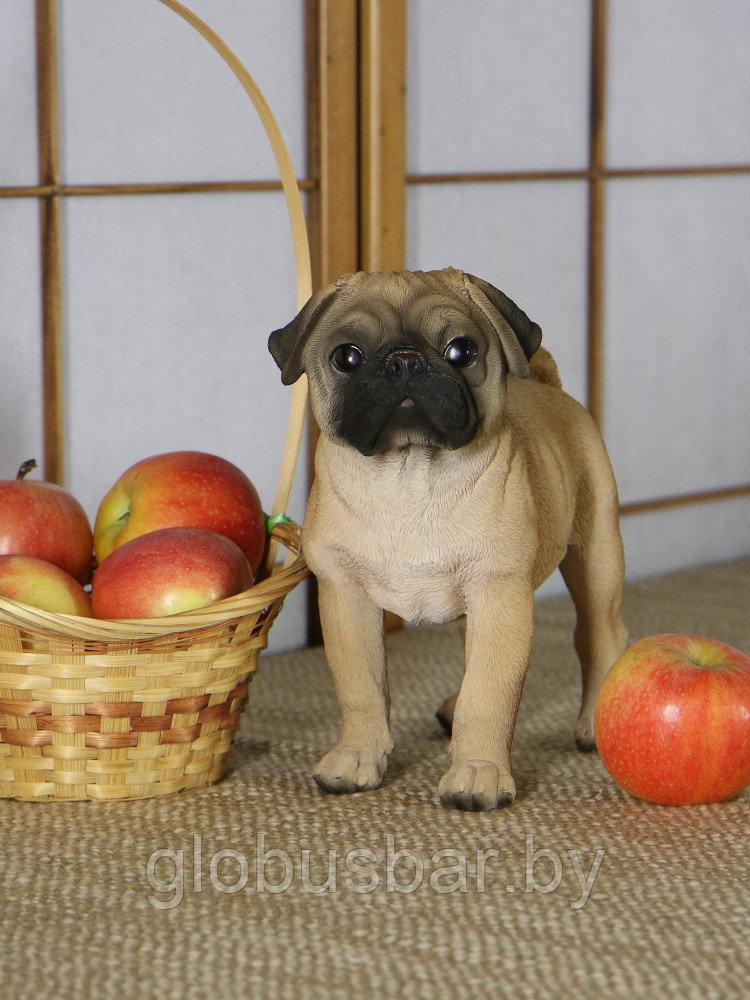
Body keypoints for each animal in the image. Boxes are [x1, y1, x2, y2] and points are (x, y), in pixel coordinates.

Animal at [270, 268, 628, 812]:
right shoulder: (346, 598)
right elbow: (361, 688)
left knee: (599, 636)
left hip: (595, 559)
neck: (409, 474)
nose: (403, 359)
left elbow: (489, 692)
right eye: (346, 357)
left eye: (461, 350)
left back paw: (591, 724)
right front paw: (358, 755)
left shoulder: (499, 591)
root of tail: (552, 390)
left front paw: (478, 771)